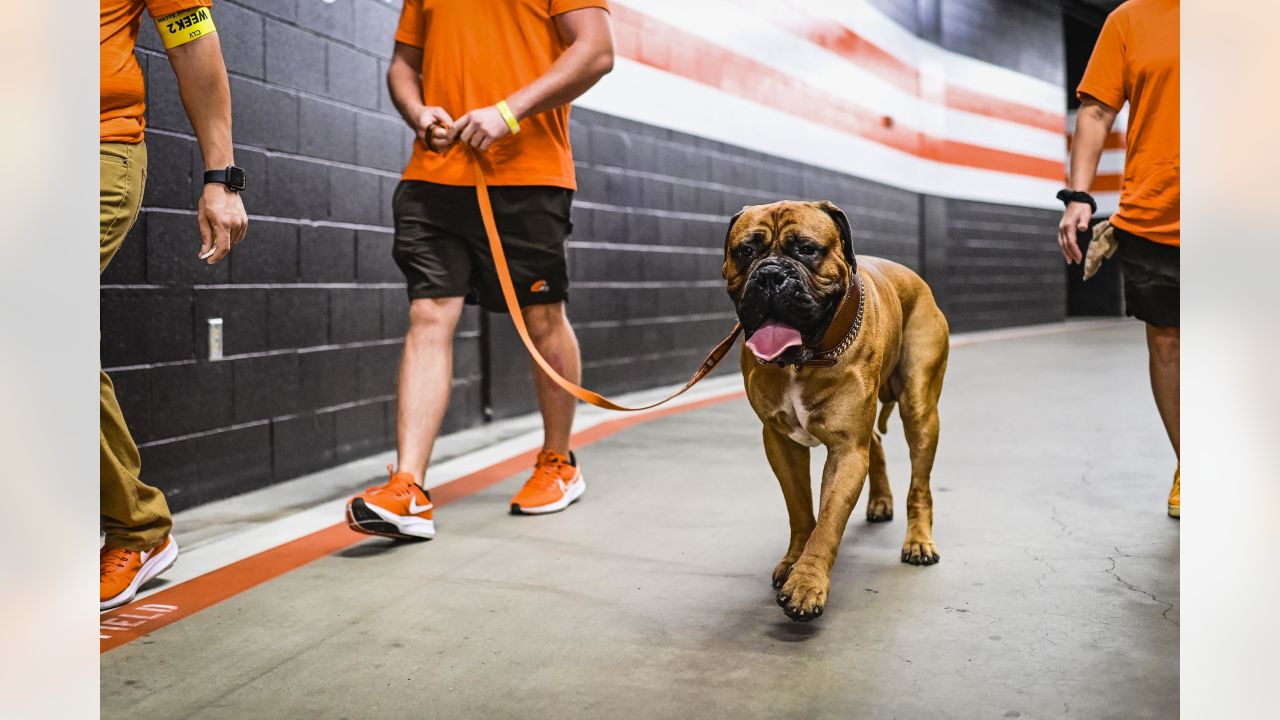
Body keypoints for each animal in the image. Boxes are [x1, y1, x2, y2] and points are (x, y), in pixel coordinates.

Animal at [727, 198, 947, 620]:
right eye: (745, 251)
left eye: (806, 249)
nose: (769, 276)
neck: (802, 360)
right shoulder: (780, 442)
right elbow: (800, 509)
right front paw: (794, 561)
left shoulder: (846, 450)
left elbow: (828, 521)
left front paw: (807, 583)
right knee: (876, 442)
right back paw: (880, 500)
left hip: (920, 408)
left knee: (920, 484)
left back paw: (918, 540)